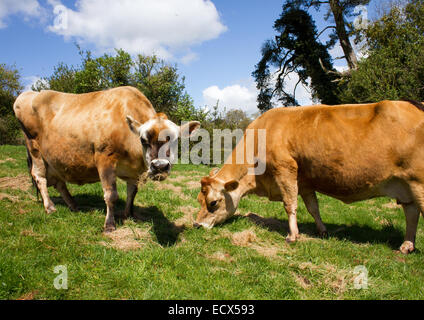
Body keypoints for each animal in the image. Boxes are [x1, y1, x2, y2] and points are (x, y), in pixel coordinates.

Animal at [12, 86, 199, 231]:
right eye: (143, 140)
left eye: (174, 140)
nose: (159, 166)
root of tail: (29, 94)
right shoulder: (104, 159)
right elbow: (111, 195)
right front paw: (109, 224)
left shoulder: (134, 172)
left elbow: (132, 193)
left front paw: (129, 215)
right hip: (35, 150)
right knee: (40, 177)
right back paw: (50, 207)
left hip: (55, 159)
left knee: (59, 183)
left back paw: (73, 205)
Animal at [195, 101, 424, 254]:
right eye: (199, 199)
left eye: (213, 202)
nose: (197, 225)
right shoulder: (304, 182)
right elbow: (313, 207)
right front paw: (322, 231)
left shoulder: (285, 169)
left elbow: (290, 204)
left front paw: (292, 236)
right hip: (405, 185)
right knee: (411, 213)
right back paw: (406, 245)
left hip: (418, 182)